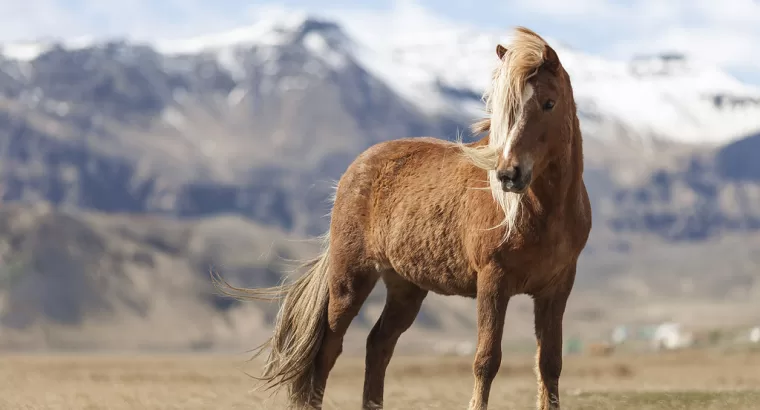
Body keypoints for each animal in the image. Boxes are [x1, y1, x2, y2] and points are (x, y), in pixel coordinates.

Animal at [217, 26, 592, 410]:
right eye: (504, 110)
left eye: (549, 103)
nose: (508, 174)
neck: (539, 214)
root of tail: (355, 169)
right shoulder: (493, 283)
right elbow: (487, 361)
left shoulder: (556, 289)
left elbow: (550, 363)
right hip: (350, 280)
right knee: (327, 351)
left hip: (406, 287)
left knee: (378, 345)